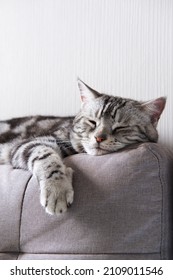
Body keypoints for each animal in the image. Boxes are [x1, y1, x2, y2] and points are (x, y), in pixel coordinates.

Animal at [0, 80, 166, 215]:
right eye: (92, 122)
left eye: (121, 127)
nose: (99, 137)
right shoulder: (28, 143)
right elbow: (46, 156)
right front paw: (57, 189)